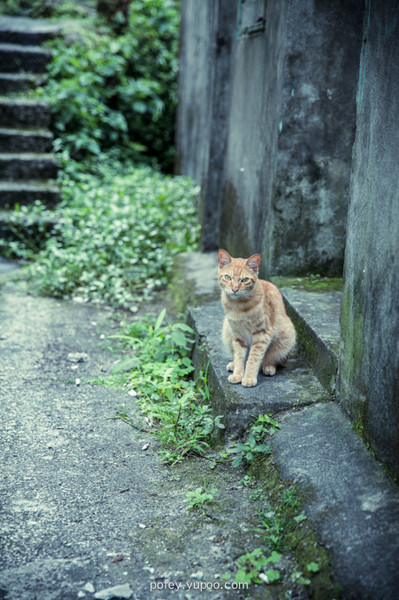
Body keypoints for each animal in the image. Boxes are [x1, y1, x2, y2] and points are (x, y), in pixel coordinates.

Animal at [219, 250, 296, 386]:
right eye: (228, 277)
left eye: (244, 280)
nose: (235, 289)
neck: (238, 306)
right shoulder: (238, 335)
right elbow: (239, 356)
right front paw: (238, 374)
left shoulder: (262, 334)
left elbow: (253, 358)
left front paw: (249, 377)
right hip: (227, 329)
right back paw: (233, 365)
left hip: (287, 336)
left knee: (277, 360)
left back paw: (269, 367)